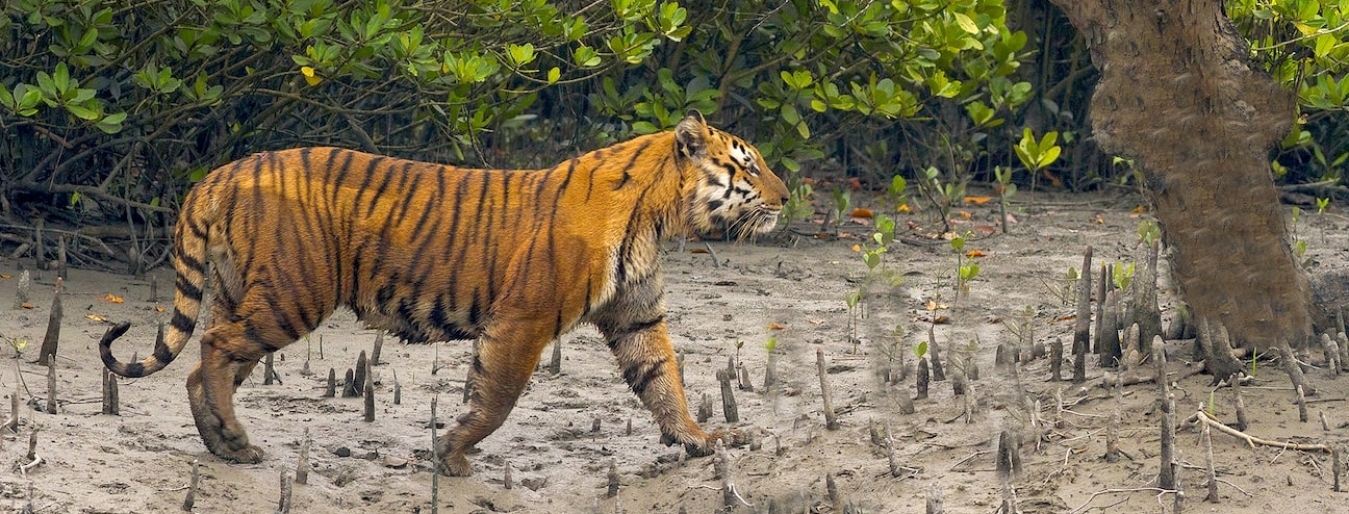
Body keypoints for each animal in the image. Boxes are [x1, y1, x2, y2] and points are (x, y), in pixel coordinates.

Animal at [99, 111, 787, 477]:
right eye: (748, 165)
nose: (786, 198)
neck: (657, 217)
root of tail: (219, 173)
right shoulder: (524, 319)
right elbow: (498, 397)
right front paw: (452, 454)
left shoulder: (636, 317)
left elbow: (663, 382)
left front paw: (702, 441)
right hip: (293, 295)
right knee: (213, 349)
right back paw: (236, 443)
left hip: (243, 293)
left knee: (202, 365)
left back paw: (222, 445)